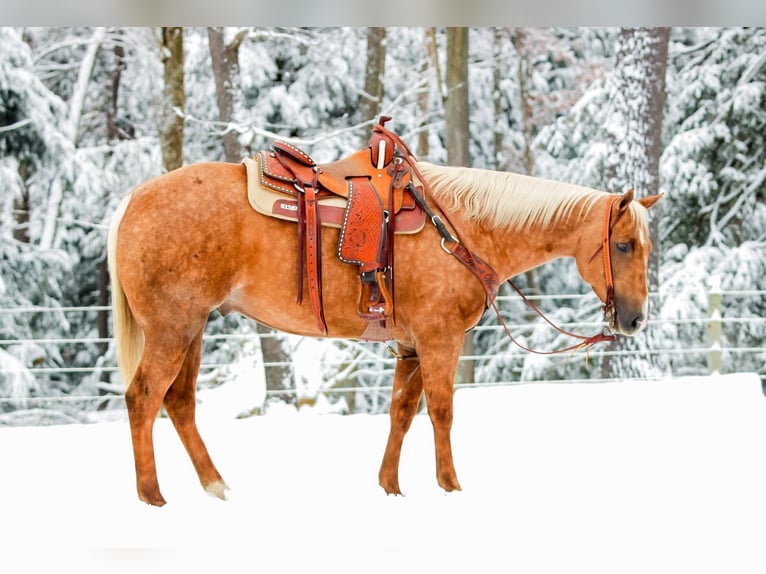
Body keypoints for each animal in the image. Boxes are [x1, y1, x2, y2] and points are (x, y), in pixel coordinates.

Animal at [108, 150, 661, 506]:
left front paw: (390, 487)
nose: (635, 320)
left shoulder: (410, 345)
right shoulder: (440, 339)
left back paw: (215, 485)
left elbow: (401, 412)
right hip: (173, 327)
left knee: (179, 403)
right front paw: (450, 487)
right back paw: (151, 497)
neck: (461, 228)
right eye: (623, 245)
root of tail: (131, 200)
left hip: (193, 327)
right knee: (144, 398)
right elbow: (441, 412)